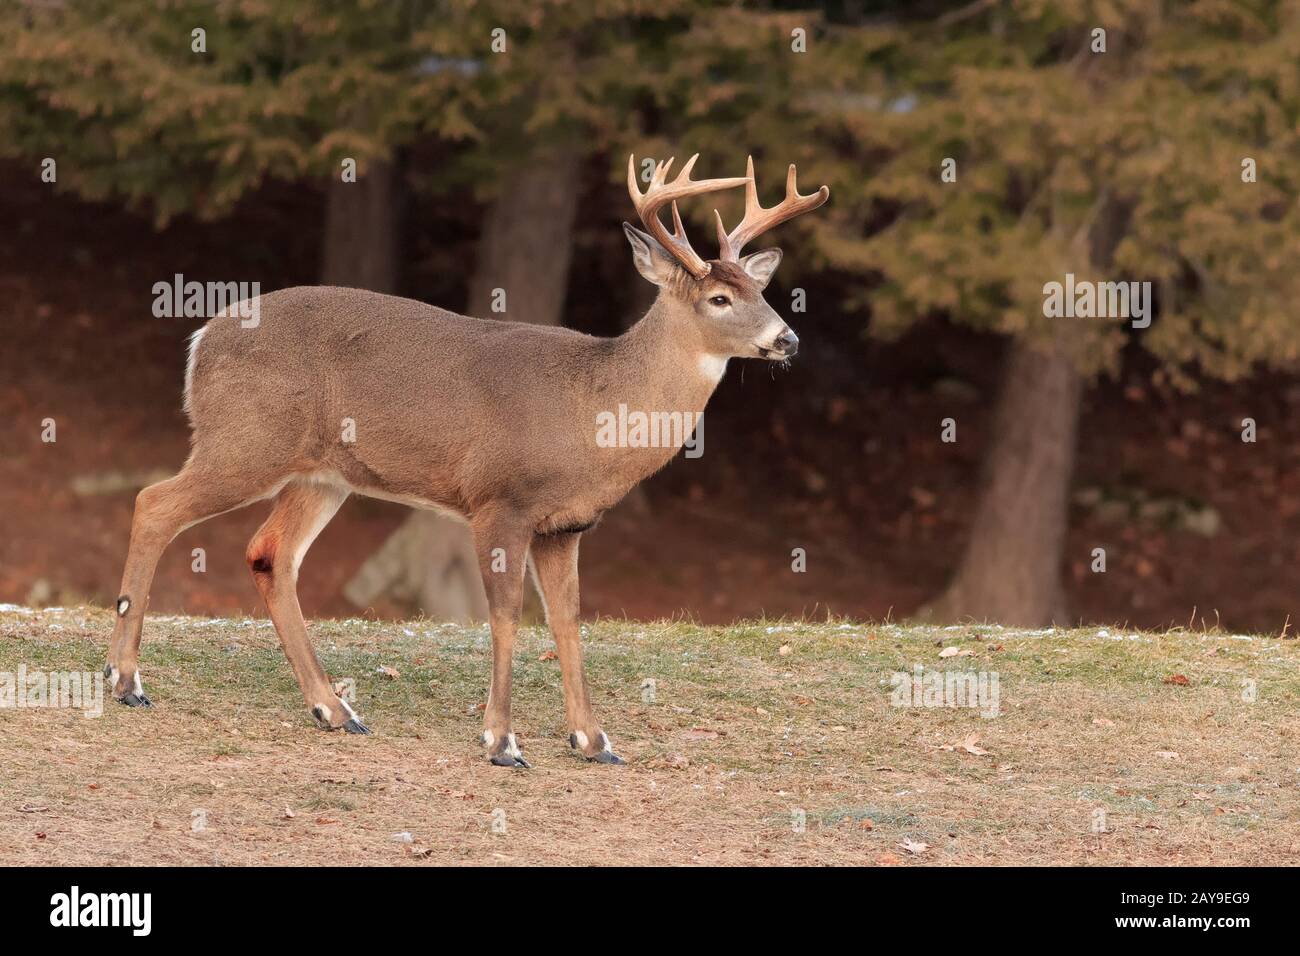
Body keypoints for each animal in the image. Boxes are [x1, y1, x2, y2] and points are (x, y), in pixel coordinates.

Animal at [106, 157, 826, 770]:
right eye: (718, 300)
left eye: (758, 290)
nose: (788, 338)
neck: (593, 412)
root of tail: (201, 339)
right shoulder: (499, 501)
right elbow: (504, 615)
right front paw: (501, 741)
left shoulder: (566, 526)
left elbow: (567, 620)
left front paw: (593, 741)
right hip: (246, 440)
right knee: (154, 502)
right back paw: (125, 680)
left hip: (321, 474)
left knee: (269, 553)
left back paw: (334, 709)